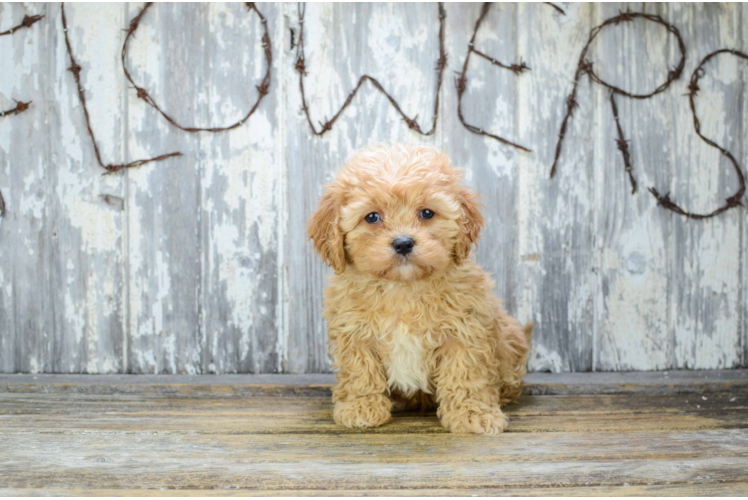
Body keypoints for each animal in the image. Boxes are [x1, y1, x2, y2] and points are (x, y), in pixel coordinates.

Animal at [306, 144, 532, 434]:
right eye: (372, 217)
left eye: (426, 213)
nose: (403, 243)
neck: (403, 287)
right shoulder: (355, 332)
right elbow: (360, 371)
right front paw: (361, 408)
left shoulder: (465, 331)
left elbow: (466, 374)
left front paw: (473, 415)